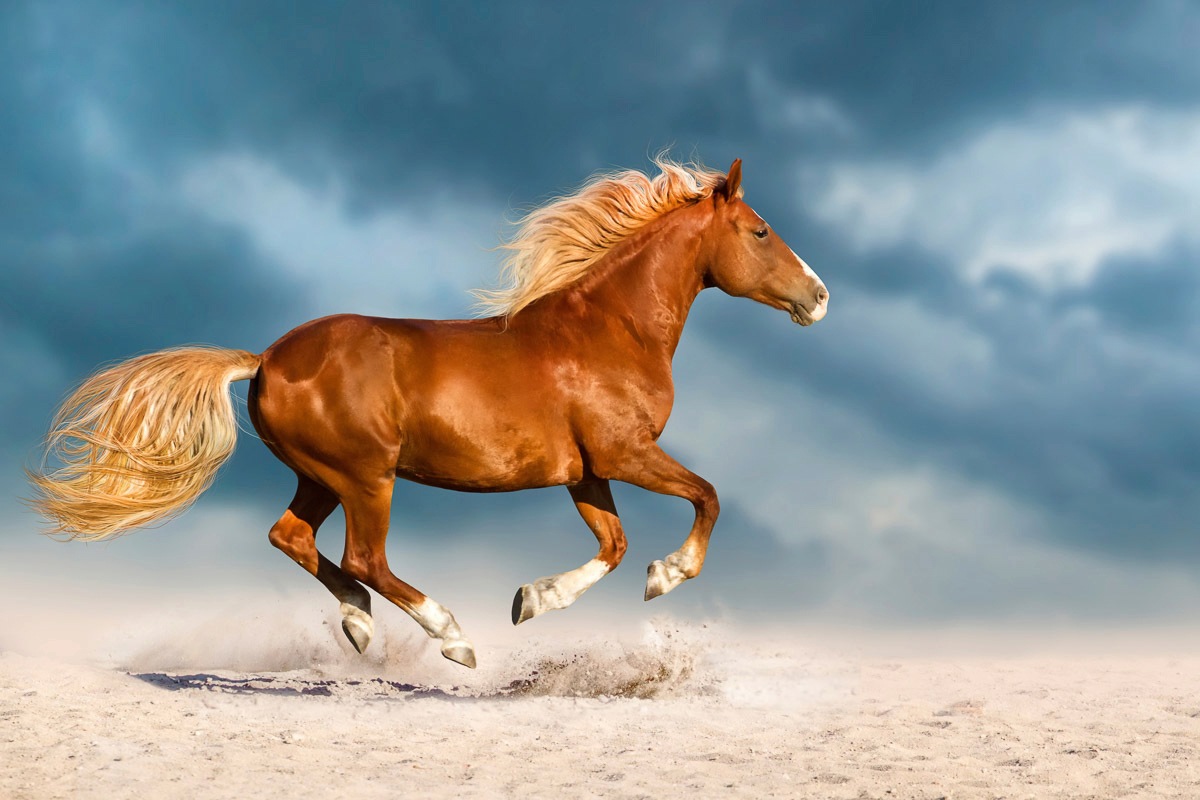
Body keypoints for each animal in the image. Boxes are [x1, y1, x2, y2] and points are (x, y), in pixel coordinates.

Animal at [28, 157, 829, 669]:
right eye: (760, 230)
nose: (818, 297)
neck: (609, 330)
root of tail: (266, 359)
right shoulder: (624, 453)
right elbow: (706, 498)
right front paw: (668, 575)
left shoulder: (585, 472)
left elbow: (614, 544)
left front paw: (532, 599)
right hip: (366, 476)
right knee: (365, 558)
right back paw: (451, 636)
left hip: (321, 476)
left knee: (292, 537)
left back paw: (358, 624)